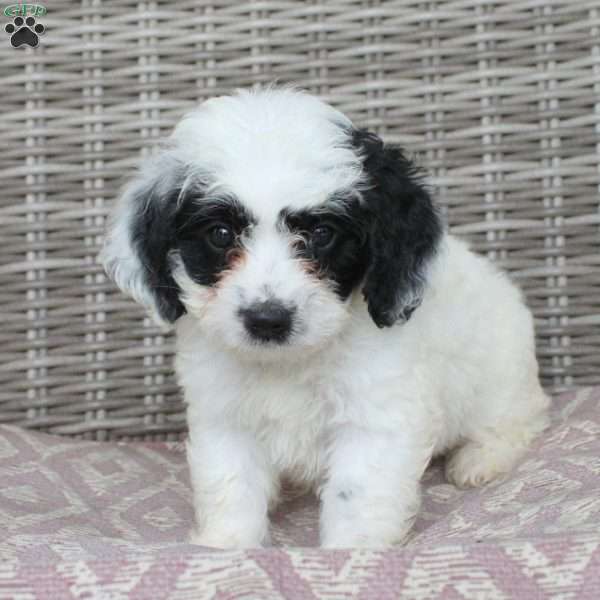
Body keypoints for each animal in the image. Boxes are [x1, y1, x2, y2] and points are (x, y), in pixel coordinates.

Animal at [102, 85, 548, 548]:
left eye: (321, 234)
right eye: (220, 235)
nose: (268, 319)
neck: (290, 363)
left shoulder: (375, 415)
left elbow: (358, 494)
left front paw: (352, 551)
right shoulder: (224, 415)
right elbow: (230, 483)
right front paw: (226, 545)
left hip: (501, 378)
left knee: (520, 419)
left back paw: (480, 459)